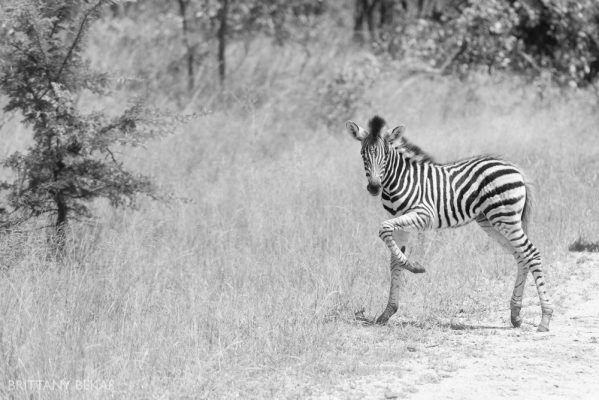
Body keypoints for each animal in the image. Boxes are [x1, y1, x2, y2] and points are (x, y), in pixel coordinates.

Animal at [346, 115, 552, 332]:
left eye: (385, 155)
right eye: (363, 155)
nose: (374, 187)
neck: (400, 181)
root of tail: (515, 169)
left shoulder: (423, 214)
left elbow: (383, 228)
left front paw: (415, 267)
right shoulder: (402, 227)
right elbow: (394, 262)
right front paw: (388, 312)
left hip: (506, 219)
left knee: (532, 253)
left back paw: (545, 318)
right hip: (492, 222)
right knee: (521, 257)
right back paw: (516, 315)